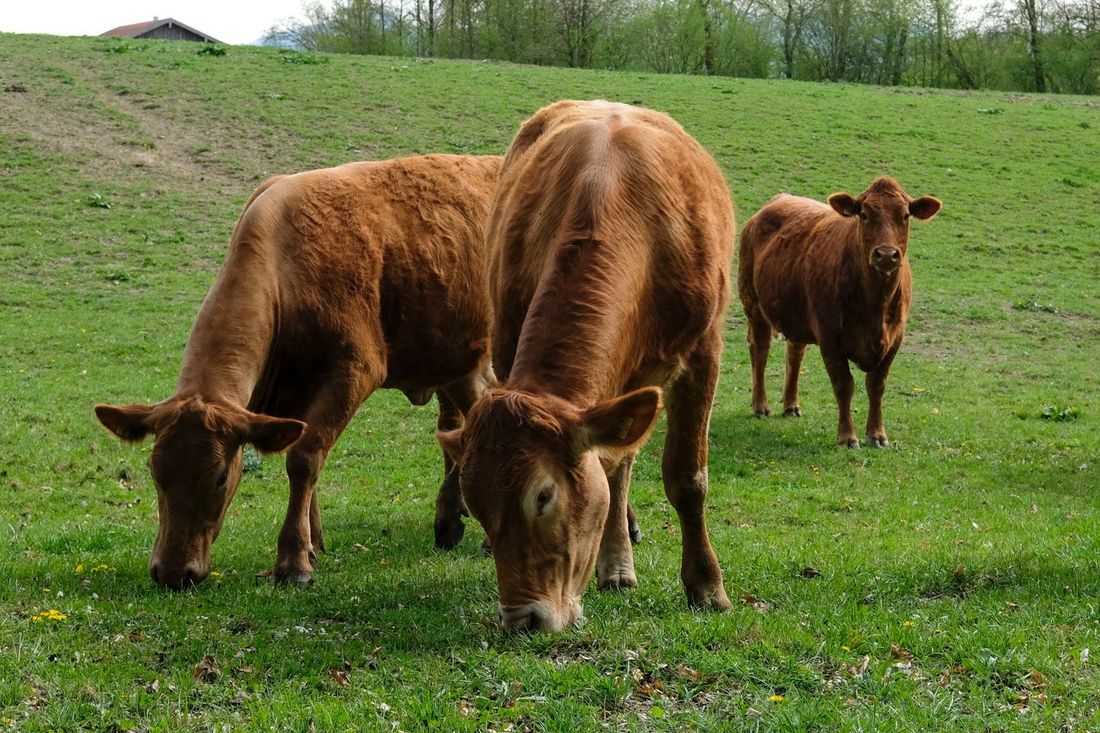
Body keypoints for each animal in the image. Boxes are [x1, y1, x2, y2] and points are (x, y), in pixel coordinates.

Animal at [95, 154, 502, 588]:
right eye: (155, 471)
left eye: (221, 476)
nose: (172, 573)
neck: (284, 270)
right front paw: (313, 543)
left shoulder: (353, 370)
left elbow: (305, 459)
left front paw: (293, 561)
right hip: (456, 361)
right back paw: (451, 520)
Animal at [437, 100, 736, 631]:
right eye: (478, 503)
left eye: (543, 495)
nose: (522, 619)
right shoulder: (508, 341)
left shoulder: (704, 352)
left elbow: (687, 477)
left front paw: (707, 586)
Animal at [738, 176, 942, 447]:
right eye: (864, 214)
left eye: (905, 215)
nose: (886, 255)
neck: (875, 304)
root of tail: (779, 199)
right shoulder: (829, 335)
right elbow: (844, 385)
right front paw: (847, 436)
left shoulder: (895, 337)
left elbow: (877, 385)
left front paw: (877, 434)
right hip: (753, 302)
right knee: (760, 350)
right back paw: (760, 405)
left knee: (795, 353)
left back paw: (791, 405)